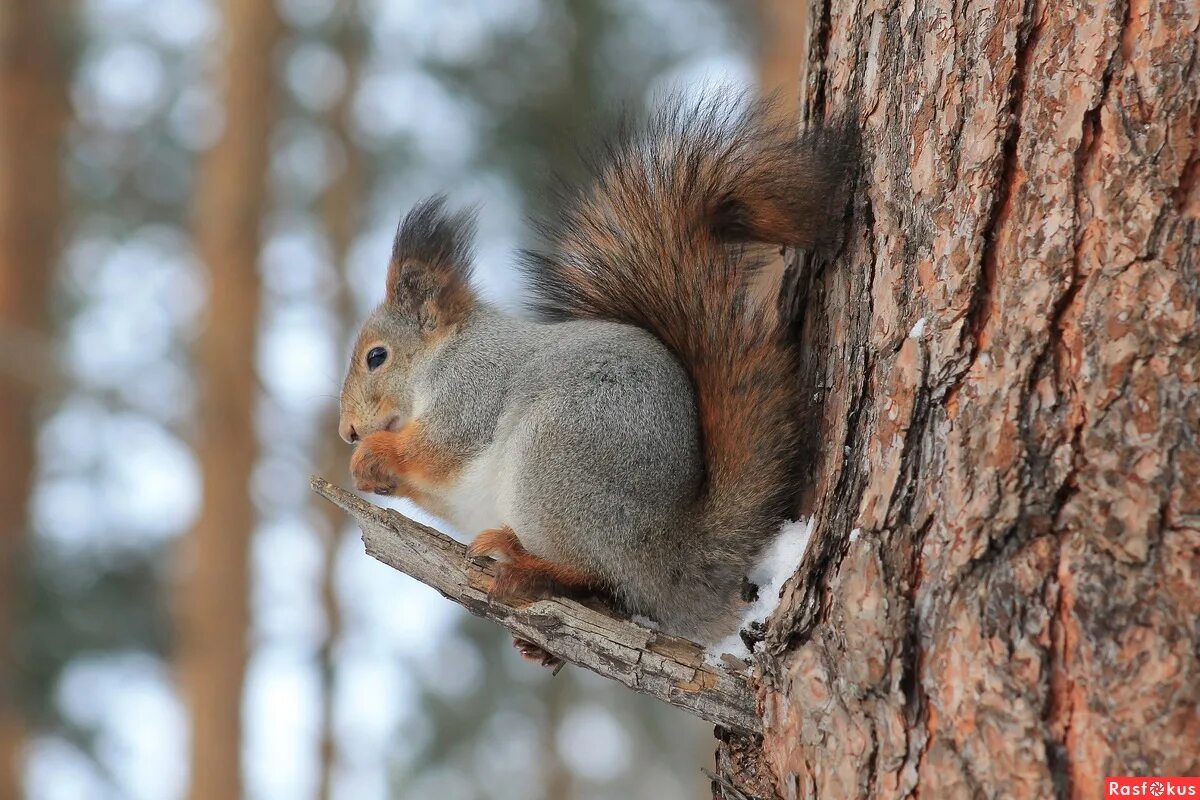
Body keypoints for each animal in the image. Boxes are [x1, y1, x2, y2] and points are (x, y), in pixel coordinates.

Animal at [338, 95, 854, 642]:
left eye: (376, 357)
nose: (347, 431)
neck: (443, 356)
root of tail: (664, 558)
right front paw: (372, 474)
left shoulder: (473, 388)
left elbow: (439, 447)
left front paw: (375, 452)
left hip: (555, 462)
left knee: (596, 573)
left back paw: (526, 563)